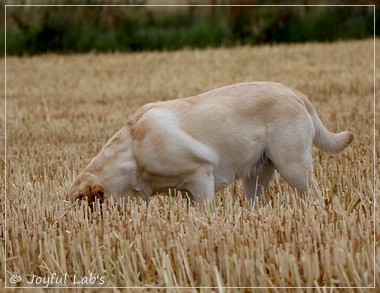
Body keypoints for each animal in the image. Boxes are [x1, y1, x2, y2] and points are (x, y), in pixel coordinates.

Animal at [66, 81, 354, 206]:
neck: (132, 155)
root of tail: (294, 92)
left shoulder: (200, 176)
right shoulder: (185, 191)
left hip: (293, 167)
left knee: (315, 197)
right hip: (255, 176)